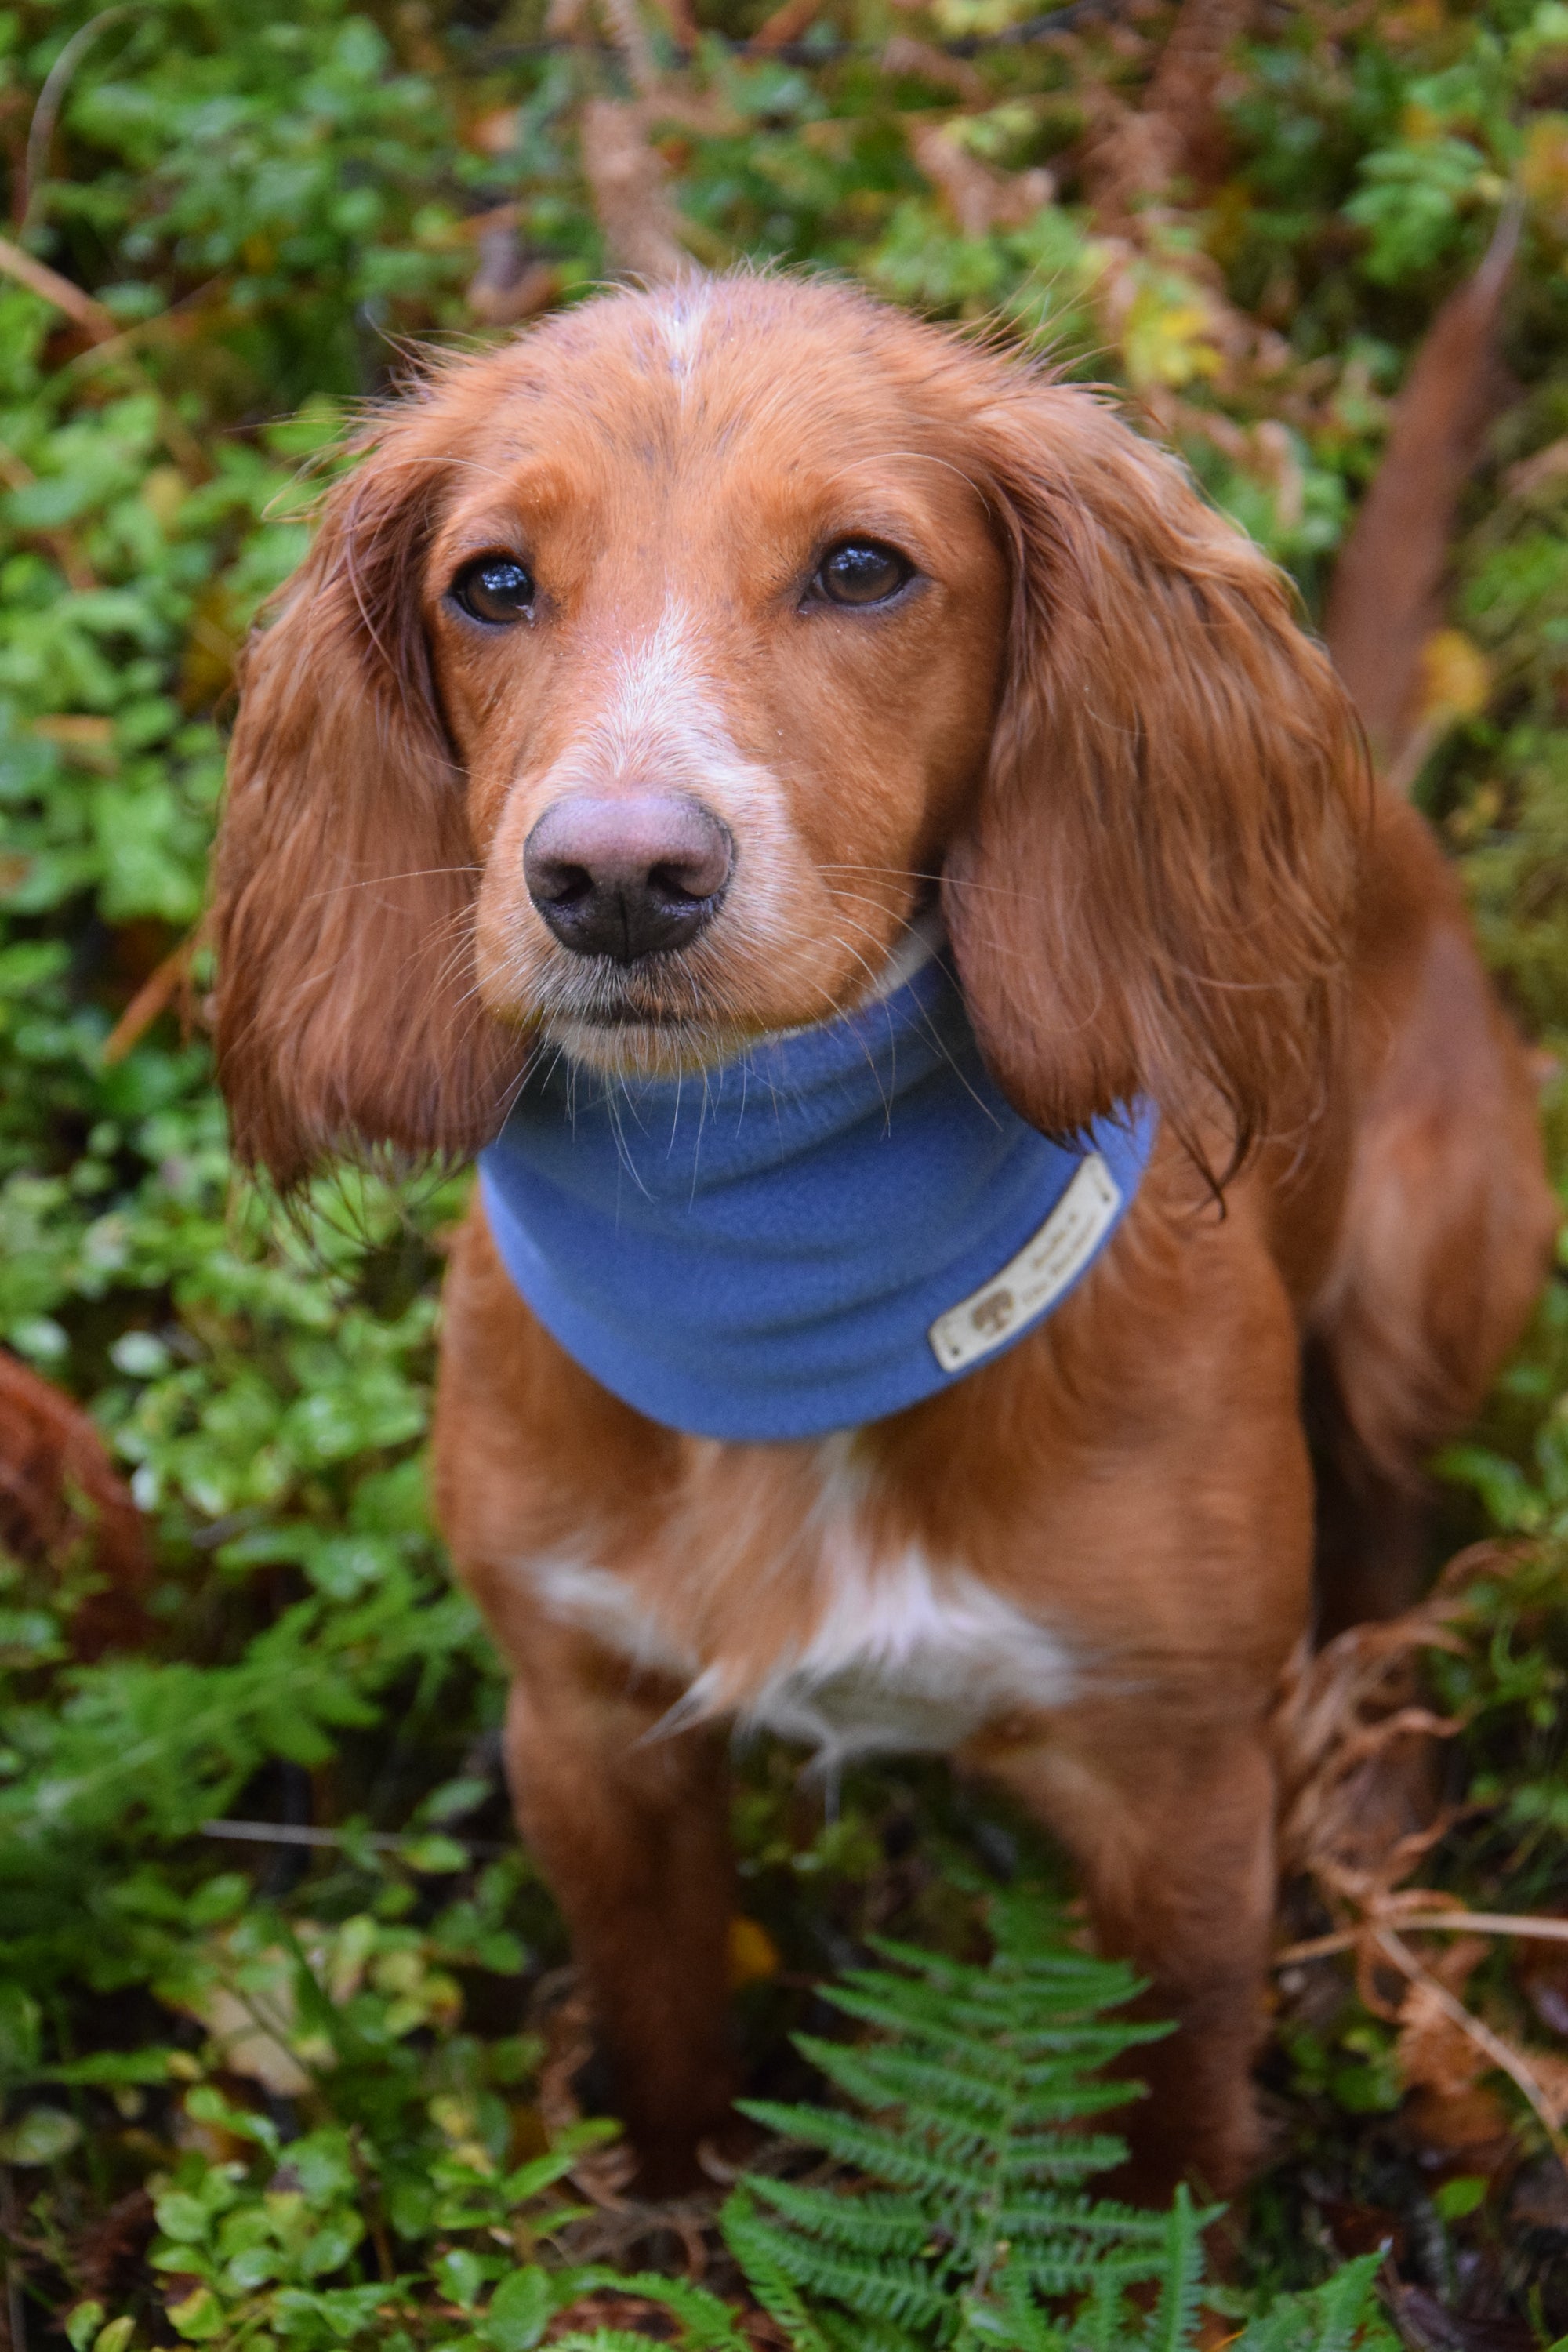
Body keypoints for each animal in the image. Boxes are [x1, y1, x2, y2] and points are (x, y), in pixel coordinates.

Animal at [211, 275, 1561, 2201]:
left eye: (862, 568)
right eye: (491, 583)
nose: (616, 881)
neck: (771, 1264)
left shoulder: (1178, 1791)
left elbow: (1168, 2137)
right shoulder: (584, 1731)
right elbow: (668, 2050)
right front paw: (670, 2206)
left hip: (1417, 1296)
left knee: (1390, 1526)